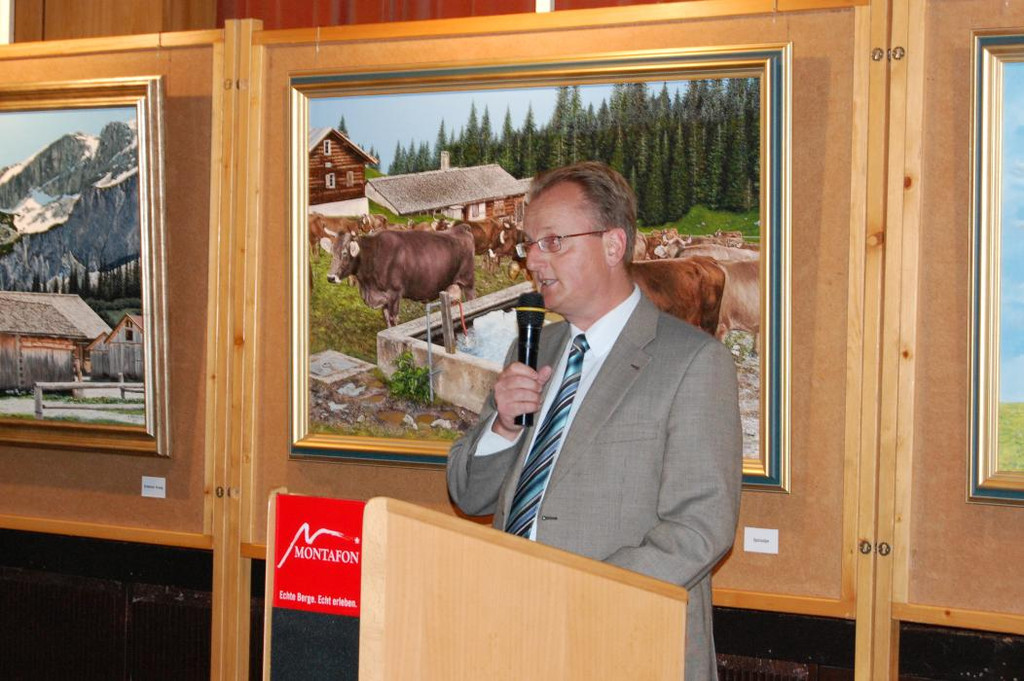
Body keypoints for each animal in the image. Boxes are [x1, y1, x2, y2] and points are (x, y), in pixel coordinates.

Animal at [324, 228, 476, 328]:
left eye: (344, 253)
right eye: (331, 251)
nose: (330, 277)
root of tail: (461, 228)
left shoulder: (394, 293)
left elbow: (393, 320)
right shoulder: (383, 299)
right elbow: (387, 321)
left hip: (468, 281)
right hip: (452, 286)